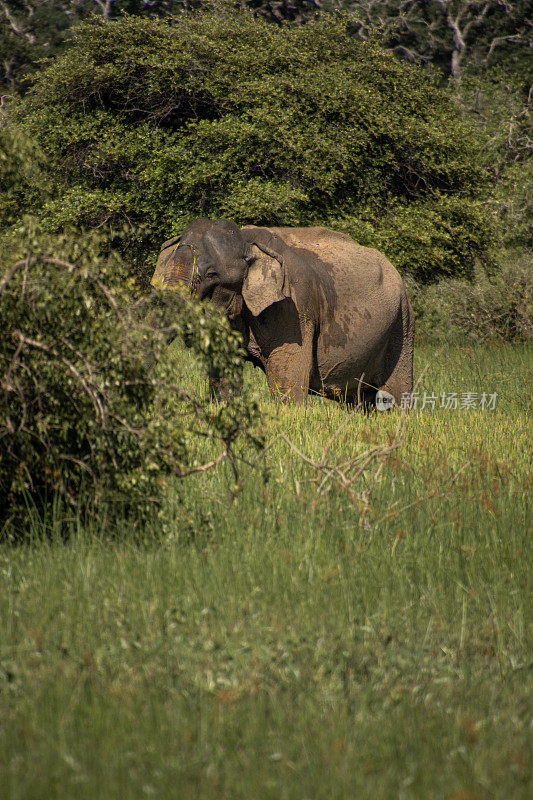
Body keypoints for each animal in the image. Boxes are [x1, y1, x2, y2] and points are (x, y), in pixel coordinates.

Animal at [152, 219, 414, 406]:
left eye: (211, 275)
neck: (247, 240)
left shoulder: (293, 309)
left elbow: (286, 382)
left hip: (402, 323)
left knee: (396, 394)